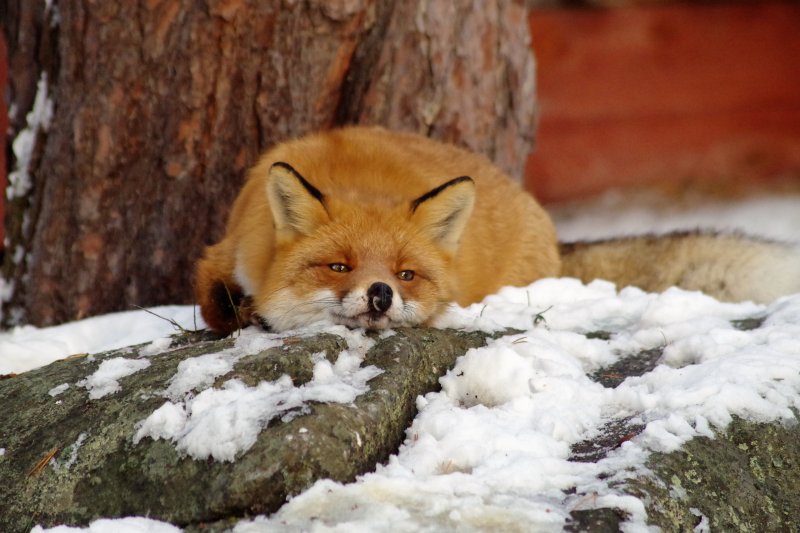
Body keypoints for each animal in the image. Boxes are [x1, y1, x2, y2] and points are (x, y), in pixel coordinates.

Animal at [195, 126, 800, 334]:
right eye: (339, 266)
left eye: (406, 274)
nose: (380, 293)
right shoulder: (223, 250)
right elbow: (215, 301)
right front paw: (244, 311)